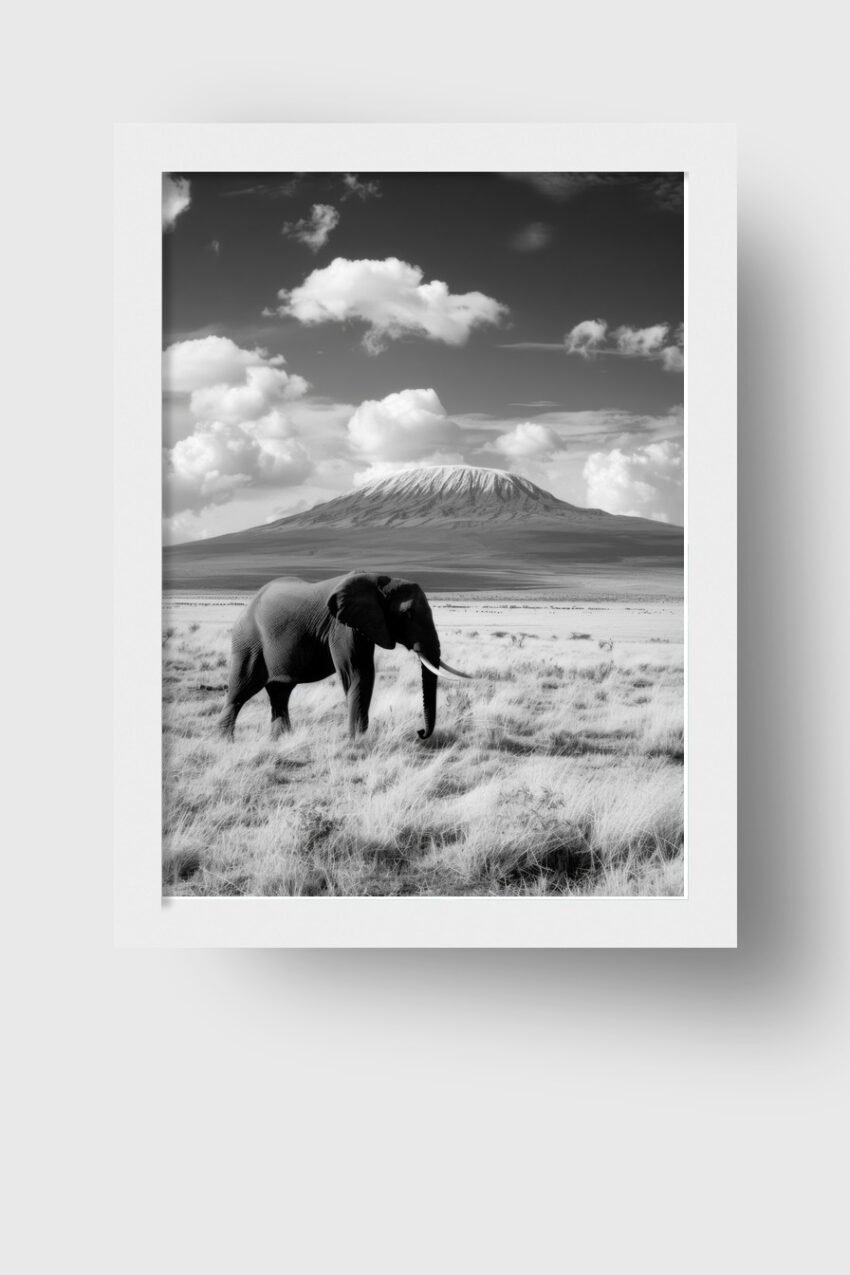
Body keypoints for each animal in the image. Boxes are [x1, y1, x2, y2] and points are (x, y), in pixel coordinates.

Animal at [217, 571, 471, 741]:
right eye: (407, 614)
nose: (420, 732)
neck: (380, 580)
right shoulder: (341, 627)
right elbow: (357, 673)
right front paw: (358, 741)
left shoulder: (363, 625)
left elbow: (365, 673)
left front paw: (359, 738)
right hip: (248, 641)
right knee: (240, 690)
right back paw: (225, 741)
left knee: (280, 693)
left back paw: (281, 740)